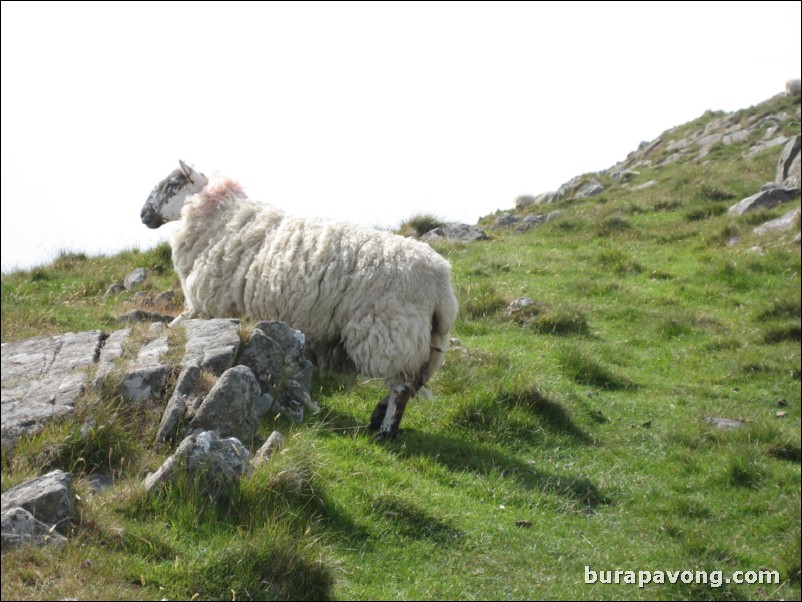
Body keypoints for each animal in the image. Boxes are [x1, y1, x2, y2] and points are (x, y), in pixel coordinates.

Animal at [141, 162, 460, 438]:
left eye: (172, 183)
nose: (143, 214)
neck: (219, 219)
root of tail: (441, 282)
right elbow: (173, 324)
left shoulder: (209, 305)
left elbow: (175, 326)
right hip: (424, 344)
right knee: (410, 384)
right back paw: (378, 417)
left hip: (390, 334)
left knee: (401, 388)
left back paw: (386, 430)